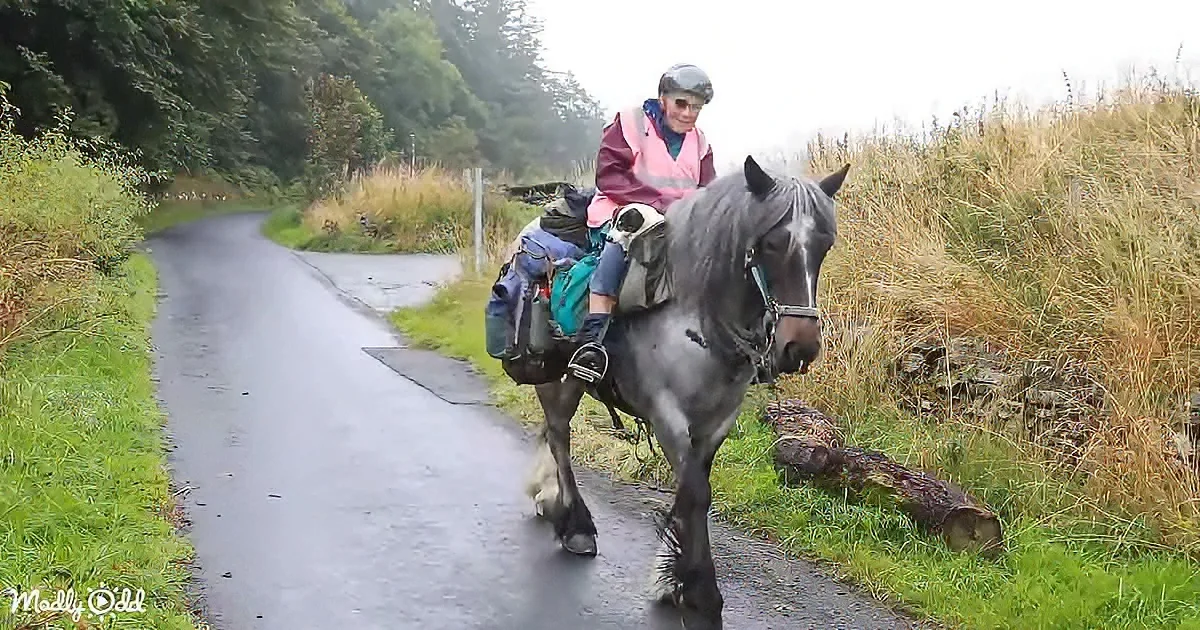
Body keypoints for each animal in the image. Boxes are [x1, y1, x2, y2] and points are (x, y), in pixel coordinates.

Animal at [519, 155, 847, 629]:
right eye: (772, 243)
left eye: (824, 245)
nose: (800, 348)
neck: (698, 321)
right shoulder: (668, 415)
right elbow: (696, 493)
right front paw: (700, 597)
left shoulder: (716, 423)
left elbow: (693, 491)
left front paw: (670, 578)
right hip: (553, 376)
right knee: (560, 434)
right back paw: (576, 524)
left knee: (552, 431)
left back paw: (550, 501)